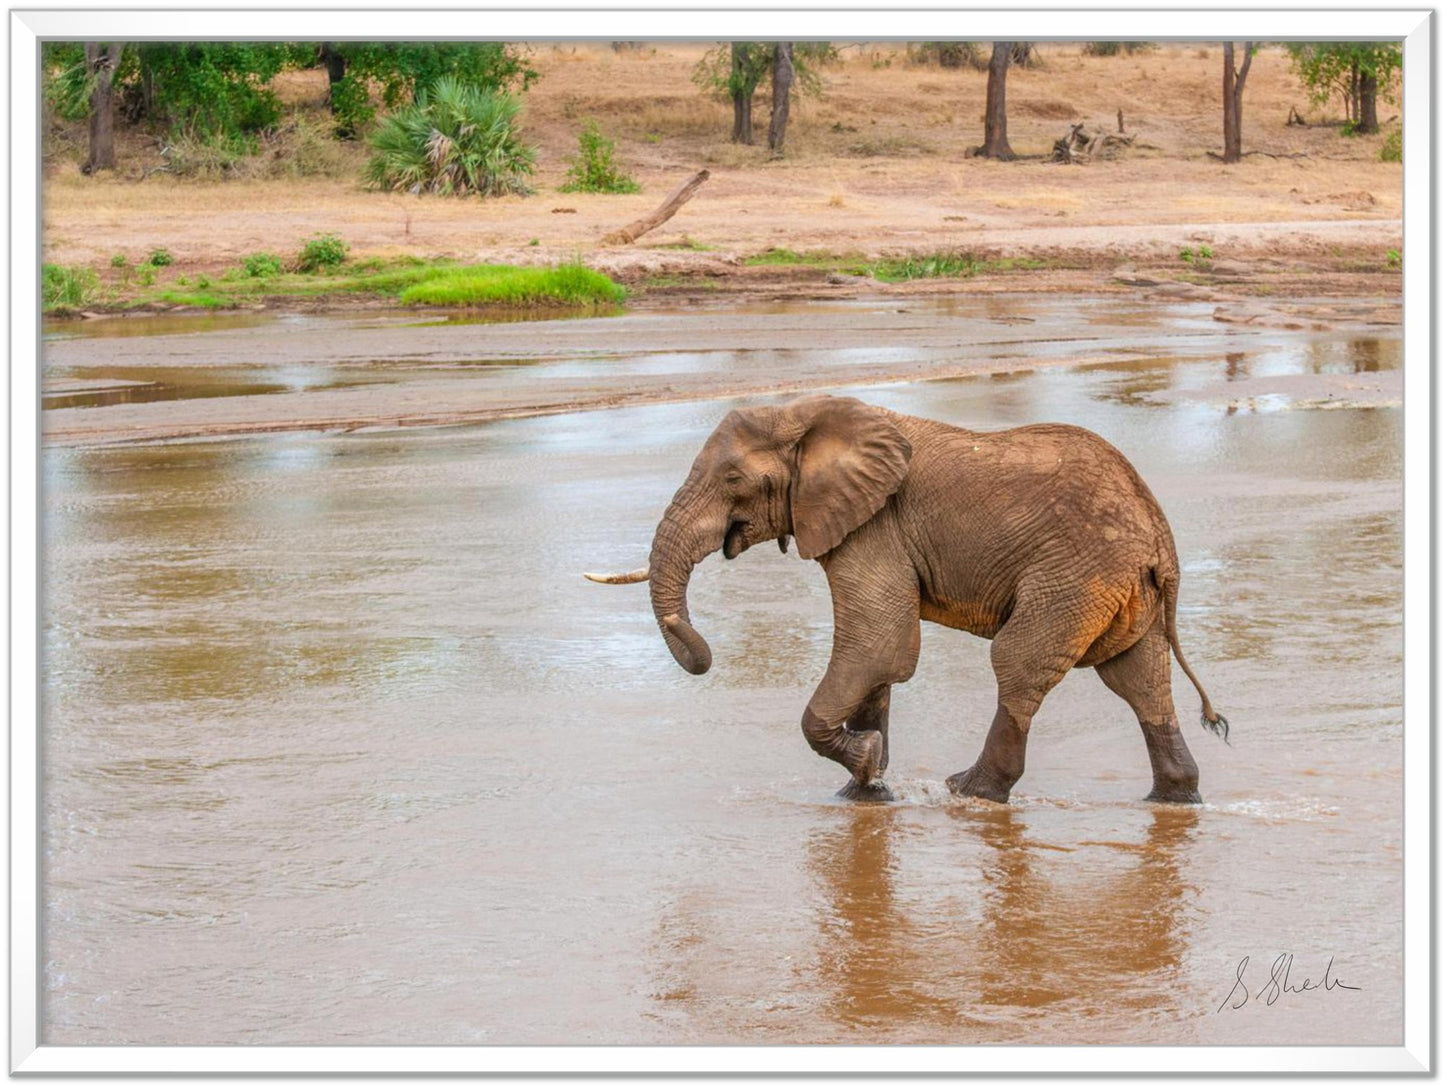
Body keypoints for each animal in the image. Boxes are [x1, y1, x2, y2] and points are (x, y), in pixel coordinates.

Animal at [586, 396, 1231, 803]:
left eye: (732, 481)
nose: (703, 657)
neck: (806, 413)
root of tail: (1159, 537)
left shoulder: (875, 526)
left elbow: (878, 644)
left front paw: (869, 766)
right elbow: (879, 663)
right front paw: (865, 791)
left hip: (1074, 577)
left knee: (1018, 663)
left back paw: (969, 791)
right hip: (1124, 591)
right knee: (1139, 680)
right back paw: (1175, 798)